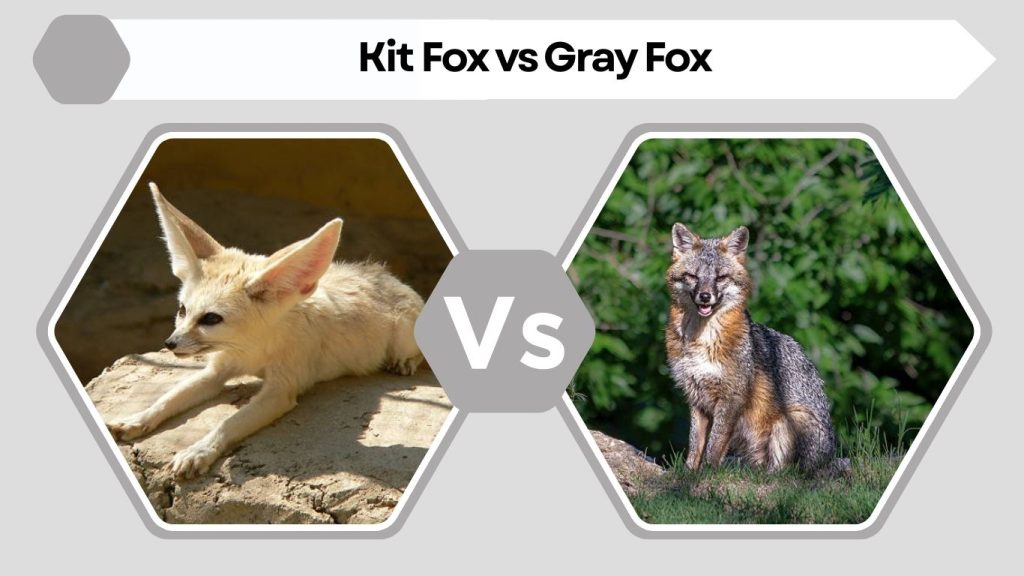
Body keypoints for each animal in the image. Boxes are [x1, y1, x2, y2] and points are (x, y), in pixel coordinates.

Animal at [106, 183, 425, 478]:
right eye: (182, 310)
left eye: (210, 319)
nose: (169, 343)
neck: (251, 351)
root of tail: (389, 277)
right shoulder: (216, 371)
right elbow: (169, 397)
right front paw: (137, 419)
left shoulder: (280, 390)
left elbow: (229, 422)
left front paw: (198, 451)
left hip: (403, 336)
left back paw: (404, 362)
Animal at [665, 223, 837, 473]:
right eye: (693, 276)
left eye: (720, 277)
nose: (705, 296)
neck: (703, 340)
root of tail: (829, 460)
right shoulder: (696, 396)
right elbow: (695, 443)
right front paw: (689, 473)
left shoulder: (732, 396)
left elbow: (714, 443)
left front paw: (708, 473)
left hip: (789, 421)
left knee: (784, 473)